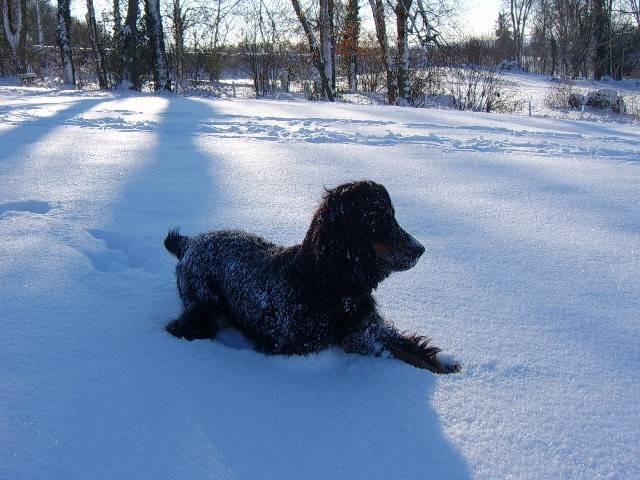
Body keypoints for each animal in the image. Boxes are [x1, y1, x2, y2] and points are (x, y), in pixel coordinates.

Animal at [165, 182, 460, 374]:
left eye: (394, 216)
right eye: (378, 220)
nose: (420, 249)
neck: (328, 283)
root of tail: (190, 243)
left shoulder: (365, 328)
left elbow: (407, 347)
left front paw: (445, 363)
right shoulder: (293, 346)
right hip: (203, 307)